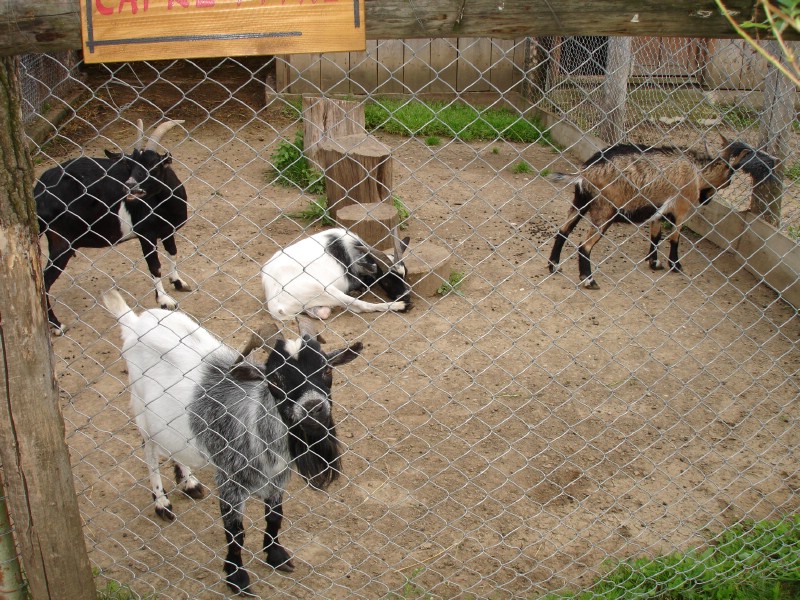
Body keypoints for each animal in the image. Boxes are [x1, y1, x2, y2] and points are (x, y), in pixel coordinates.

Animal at [36, 118, 191, 332]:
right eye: (130, 165)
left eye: (154, 166)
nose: (131, 186)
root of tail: (38, 192)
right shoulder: (146, 234)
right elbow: (154, 266)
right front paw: (164, 300)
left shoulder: (168, 230)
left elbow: (173, 252)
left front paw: (178, 282)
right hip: (63, 241)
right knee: (44, 281)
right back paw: (57, 325)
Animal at [104, 292, 362, 596]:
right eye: (275, 378)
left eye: (326, 370)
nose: (313, 408)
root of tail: (134, 322)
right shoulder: (229, 481)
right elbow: (235, 532)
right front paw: (237, 577)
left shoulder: (277, 479)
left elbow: (275, 516)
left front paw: (276, 555)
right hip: (141, 410)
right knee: (150, 451)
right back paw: (162, 502)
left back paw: (188, 482)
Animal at [262, 226, 412, 322]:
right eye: (386, 281)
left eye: (405, 274)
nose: (406, 296)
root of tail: (275, 307)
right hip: (324, 289)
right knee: (360, 306)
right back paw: (400, 306)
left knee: (322, 312)